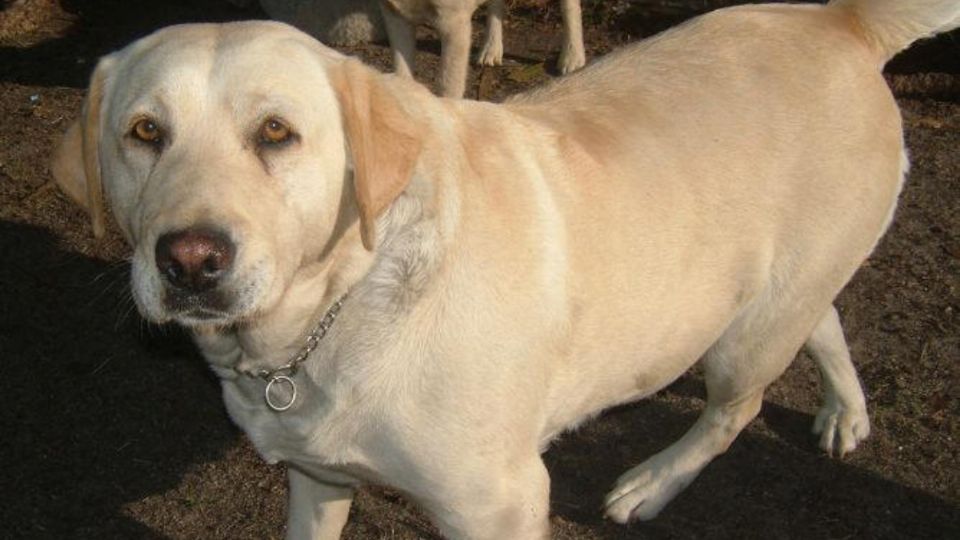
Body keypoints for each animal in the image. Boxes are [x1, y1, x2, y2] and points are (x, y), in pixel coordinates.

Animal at [52, 0, 960, 536]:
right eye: (143, 133)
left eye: (276, 132)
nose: (190, 260)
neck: (339, 310)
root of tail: (838, 20)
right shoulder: (316, 478)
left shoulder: (502, 504)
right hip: (776, 287)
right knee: (826, 316)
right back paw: (845, 409)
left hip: (741, 341)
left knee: (739, 408)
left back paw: (652, 483)